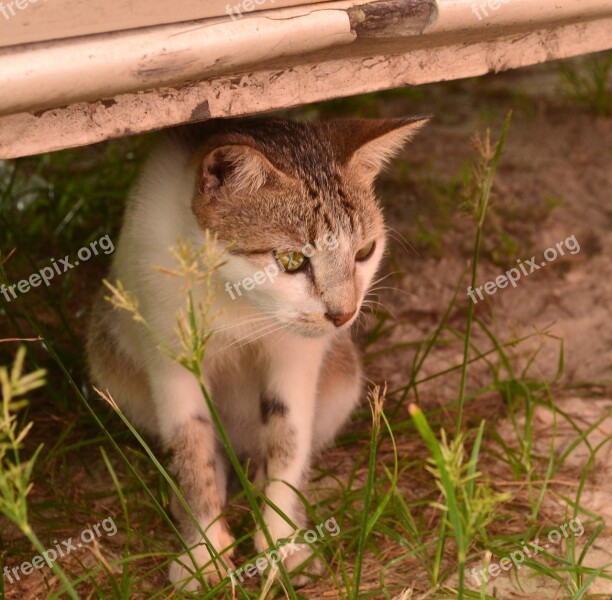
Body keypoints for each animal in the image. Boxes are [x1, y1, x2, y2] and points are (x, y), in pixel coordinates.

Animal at [86, 117, 428, 592]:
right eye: (290, 260)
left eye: (364, 252)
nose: (343, 314)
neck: (240, 305)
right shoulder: (171, 355)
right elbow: (192, 449)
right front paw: (204, 551)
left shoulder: (297, 355)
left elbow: (288, 437)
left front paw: (282, 541)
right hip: (109, 357)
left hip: (342, 376)